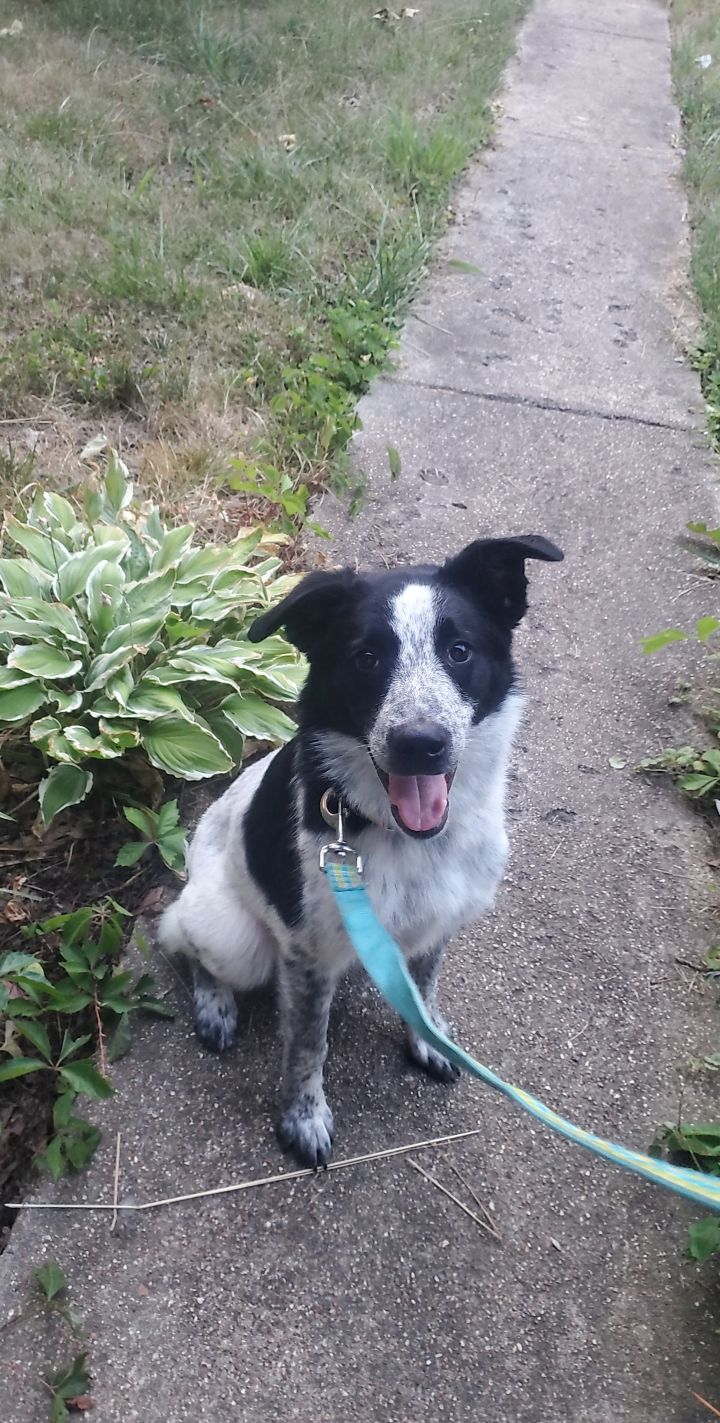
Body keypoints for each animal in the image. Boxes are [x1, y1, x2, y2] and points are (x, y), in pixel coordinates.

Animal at [157, 535, 563, 1166]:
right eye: (366, 658)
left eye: (460, 651)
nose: (420, 744)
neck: (398, 835)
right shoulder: (305, 957)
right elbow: (307, 1047)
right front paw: (303, 1118)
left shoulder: (436, 927)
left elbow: (424, 993)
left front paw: (428, 1040)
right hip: (234, 937)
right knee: (186, 946)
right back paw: (215, 1006)